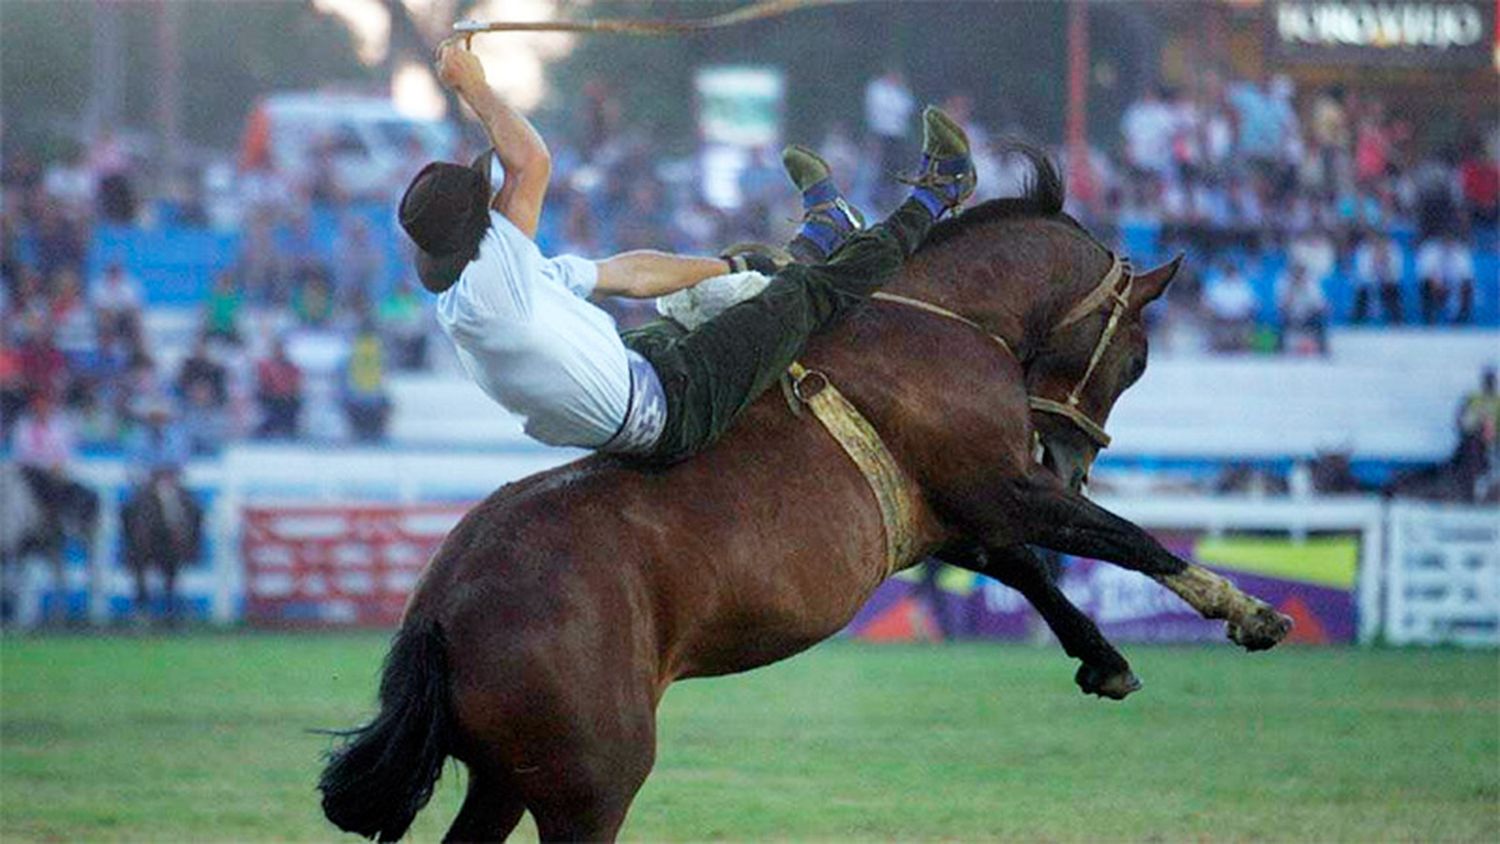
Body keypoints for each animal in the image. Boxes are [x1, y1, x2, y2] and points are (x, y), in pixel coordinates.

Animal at [316, 148, 1290, 839]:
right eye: (1139, 356)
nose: (1069, 456)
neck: (933, 316)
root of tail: (440, 606)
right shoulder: (999, 483)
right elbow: (1124, 539)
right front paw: (1247, 611)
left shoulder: (951, 513)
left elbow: (1027, 569)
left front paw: (1105, 657)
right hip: (589, 784)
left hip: (503, 781)